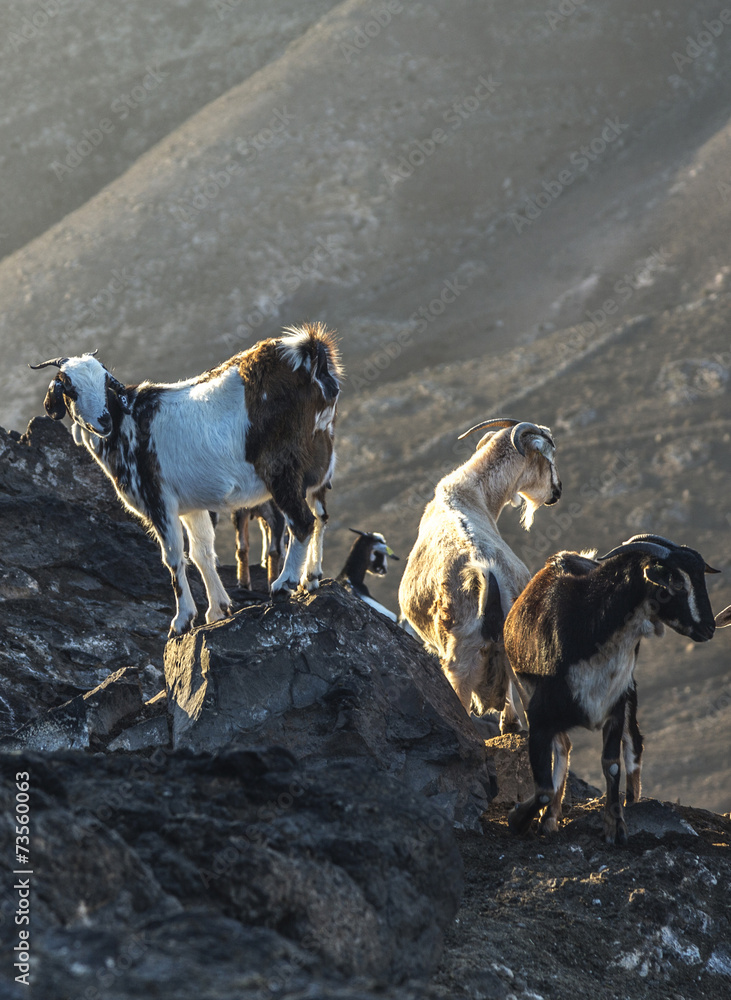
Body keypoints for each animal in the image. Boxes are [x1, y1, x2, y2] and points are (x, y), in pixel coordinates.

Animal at [30, 324, 342, 635]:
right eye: (70, 389)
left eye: (105, 382)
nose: (103, 420)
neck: (126, 424)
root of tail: (308, 355)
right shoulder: (192, 507)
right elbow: (202, 553)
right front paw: (218, 610)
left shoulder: (159, 500)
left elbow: (173, 558)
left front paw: (182, 620)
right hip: (319, 462)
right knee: (321, 516)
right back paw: (311, 578)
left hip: (281, 467)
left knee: (301, 521)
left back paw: (284, 584)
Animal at [398, 418, 562, 731]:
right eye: (549, 459)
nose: (557, 491)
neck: (475, 494)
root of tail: (487, 574)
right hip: (520, 658)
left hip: (459, 663)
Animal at [504, 535, 718, 844]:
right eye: (677, 583)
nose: (709, 628)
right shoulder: (540, 716)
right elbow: (543, 788)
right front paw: (518, 819)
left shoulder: (616, 705)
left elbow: (612, 764)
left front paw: (615, 826)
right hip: (525, 690)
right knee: (563, 747)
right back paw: (551, 816)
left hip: (630, 692)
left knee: (633, 742)